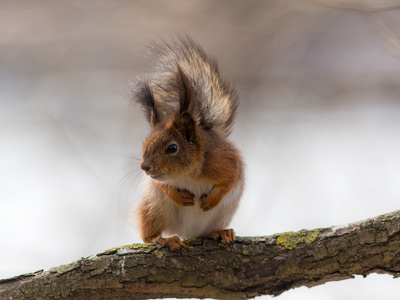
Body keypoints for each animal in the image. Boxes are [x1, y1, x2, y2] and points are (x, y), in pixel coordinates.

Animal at [133, 35, 244, 251]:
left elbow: (230, 180)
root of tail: (186, 232)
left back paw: (220, 232)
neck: (186, 175)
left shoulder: (225, 161)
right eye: (144, 144)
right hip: (152, 210)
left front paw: (213, 198)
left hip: (222, 214)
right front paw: (176, 195)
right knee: (148, 235)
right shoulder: (157, 182)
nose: (144, 167)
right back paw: (164, 239)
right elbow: (159, 184)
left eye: (172, 148)